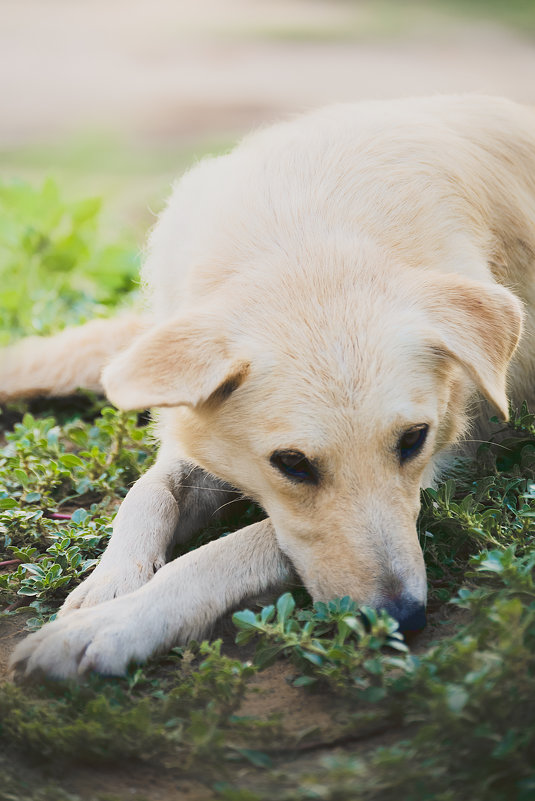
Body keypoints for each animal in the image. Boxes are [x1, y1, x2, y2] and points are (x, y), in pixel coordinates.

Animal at [4, 97, 535, 680]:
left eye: (413, 440)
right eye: (293, 464)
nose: (403, 620)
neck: (308, 239)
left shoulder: (431, 472)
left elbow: (218, 554)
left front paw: (111, 626)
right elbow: (146, 493)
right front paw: (110, 585)